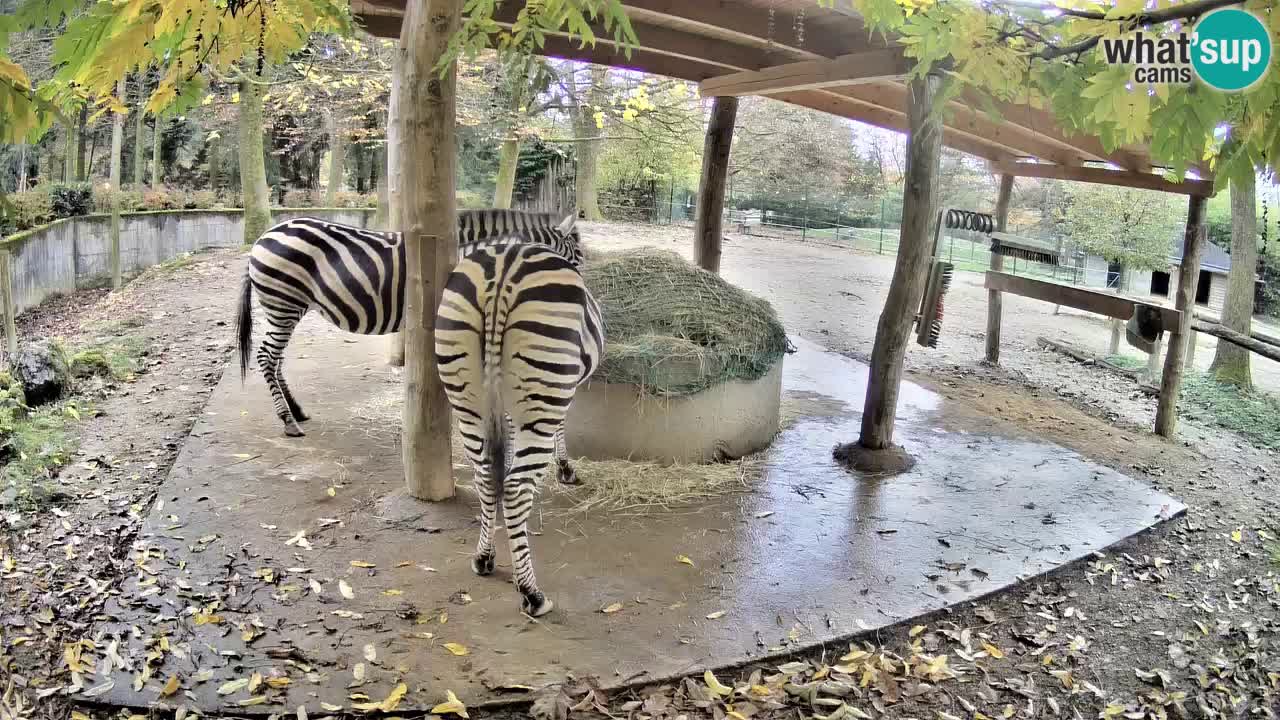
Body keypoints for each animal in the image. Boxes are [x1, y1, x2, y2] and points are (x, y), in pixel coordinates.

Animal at [235, 210, 584, 437]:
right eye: (576, 257)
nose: (578, 298)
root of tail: (265, 235)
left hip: (288, 307)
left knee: (276, 358)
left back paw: (296, 411)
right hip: (284, 302)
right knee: (267, 356)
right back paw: (288, 421)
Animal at [435, 243, 604, 617]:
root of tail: (503, 271)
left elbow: (506, 449)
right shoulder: (562, 391)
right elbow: (560, 430)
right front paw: (566, 469)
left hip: (468, 401)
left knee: (486, 477)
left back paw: (484, 557)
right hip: (544, 395)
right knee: (514, 489)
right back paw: (532, 593)